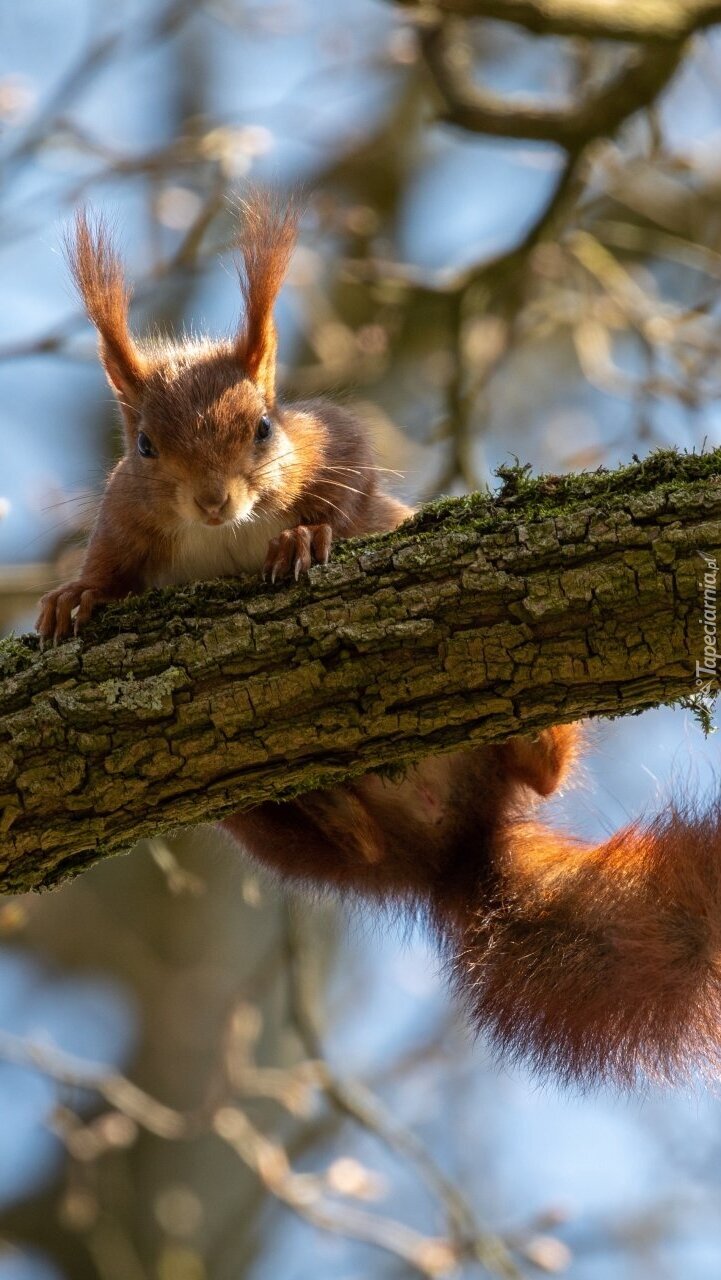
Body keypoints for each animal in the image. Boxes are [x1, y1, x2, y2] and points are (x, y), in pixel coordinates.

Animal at [36, 194, 721, 1085]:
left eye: (263, 427)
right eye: (144, 445)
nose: (215, 501)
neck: (222, 538)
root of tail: (449, 849)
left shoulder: (329, 439)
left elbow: (348, 479)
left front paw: (305, 540)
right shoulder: (124, 520)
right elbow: (104, 569)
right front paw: (70, 599)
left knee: (540, 776)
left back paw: (533, 740)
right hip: (251, 821)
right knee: (346, 845)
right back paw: (338, 812)